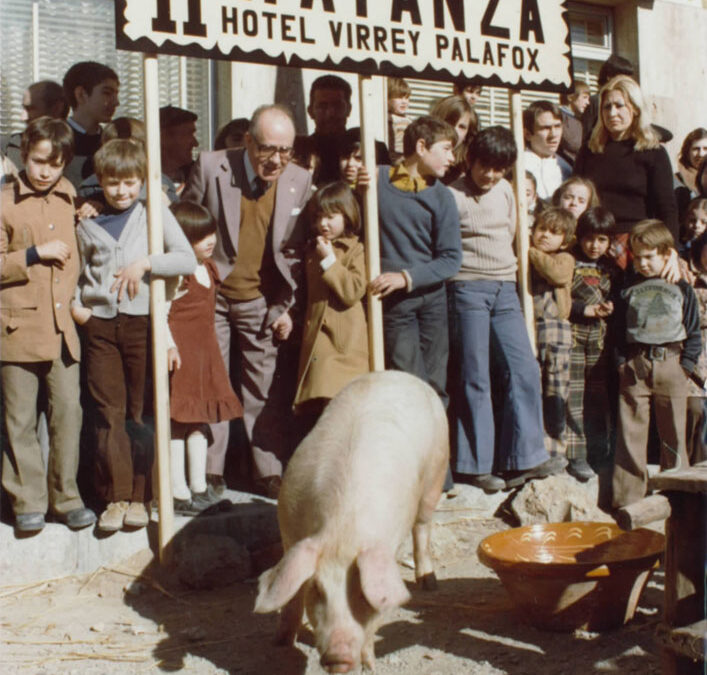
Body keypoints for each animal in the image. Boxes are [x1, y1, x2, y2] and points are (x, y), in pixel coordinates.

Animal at [254, 372, 448, 672]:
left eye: (361, 595)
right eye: (317, 590)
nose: (339, 657)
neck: (342, 532)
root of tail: (398, 374)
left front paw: (370, 666)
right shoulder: (289, 530)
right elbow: (292, 590)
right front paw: (280, 642)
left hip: (435, 475)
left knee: (422, 527)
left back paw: (429, 583)